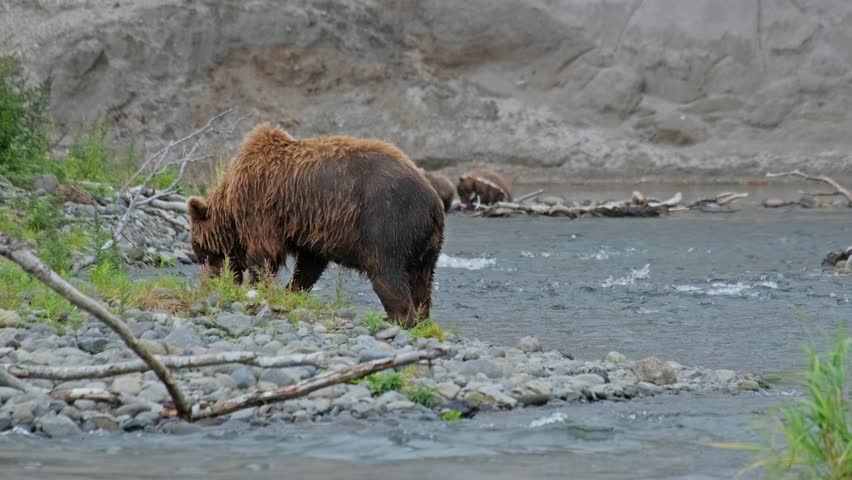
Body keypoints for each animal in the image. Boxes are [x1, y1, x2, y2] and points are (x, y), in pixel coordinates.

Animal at [186, 124, 445, 328]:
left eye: (199, 250)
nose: (209, 283)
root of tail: (434, 202)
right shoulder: (313, 232)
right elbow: (309, 267)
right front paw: (291, 292)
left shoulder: (261, 207)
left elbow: (263, 255)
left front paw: (259, 287)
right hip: (425, 247)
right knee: (421, 282)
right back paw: (421, 319)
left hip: (388, 220)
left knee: (386, 271)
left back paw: (398, 318)